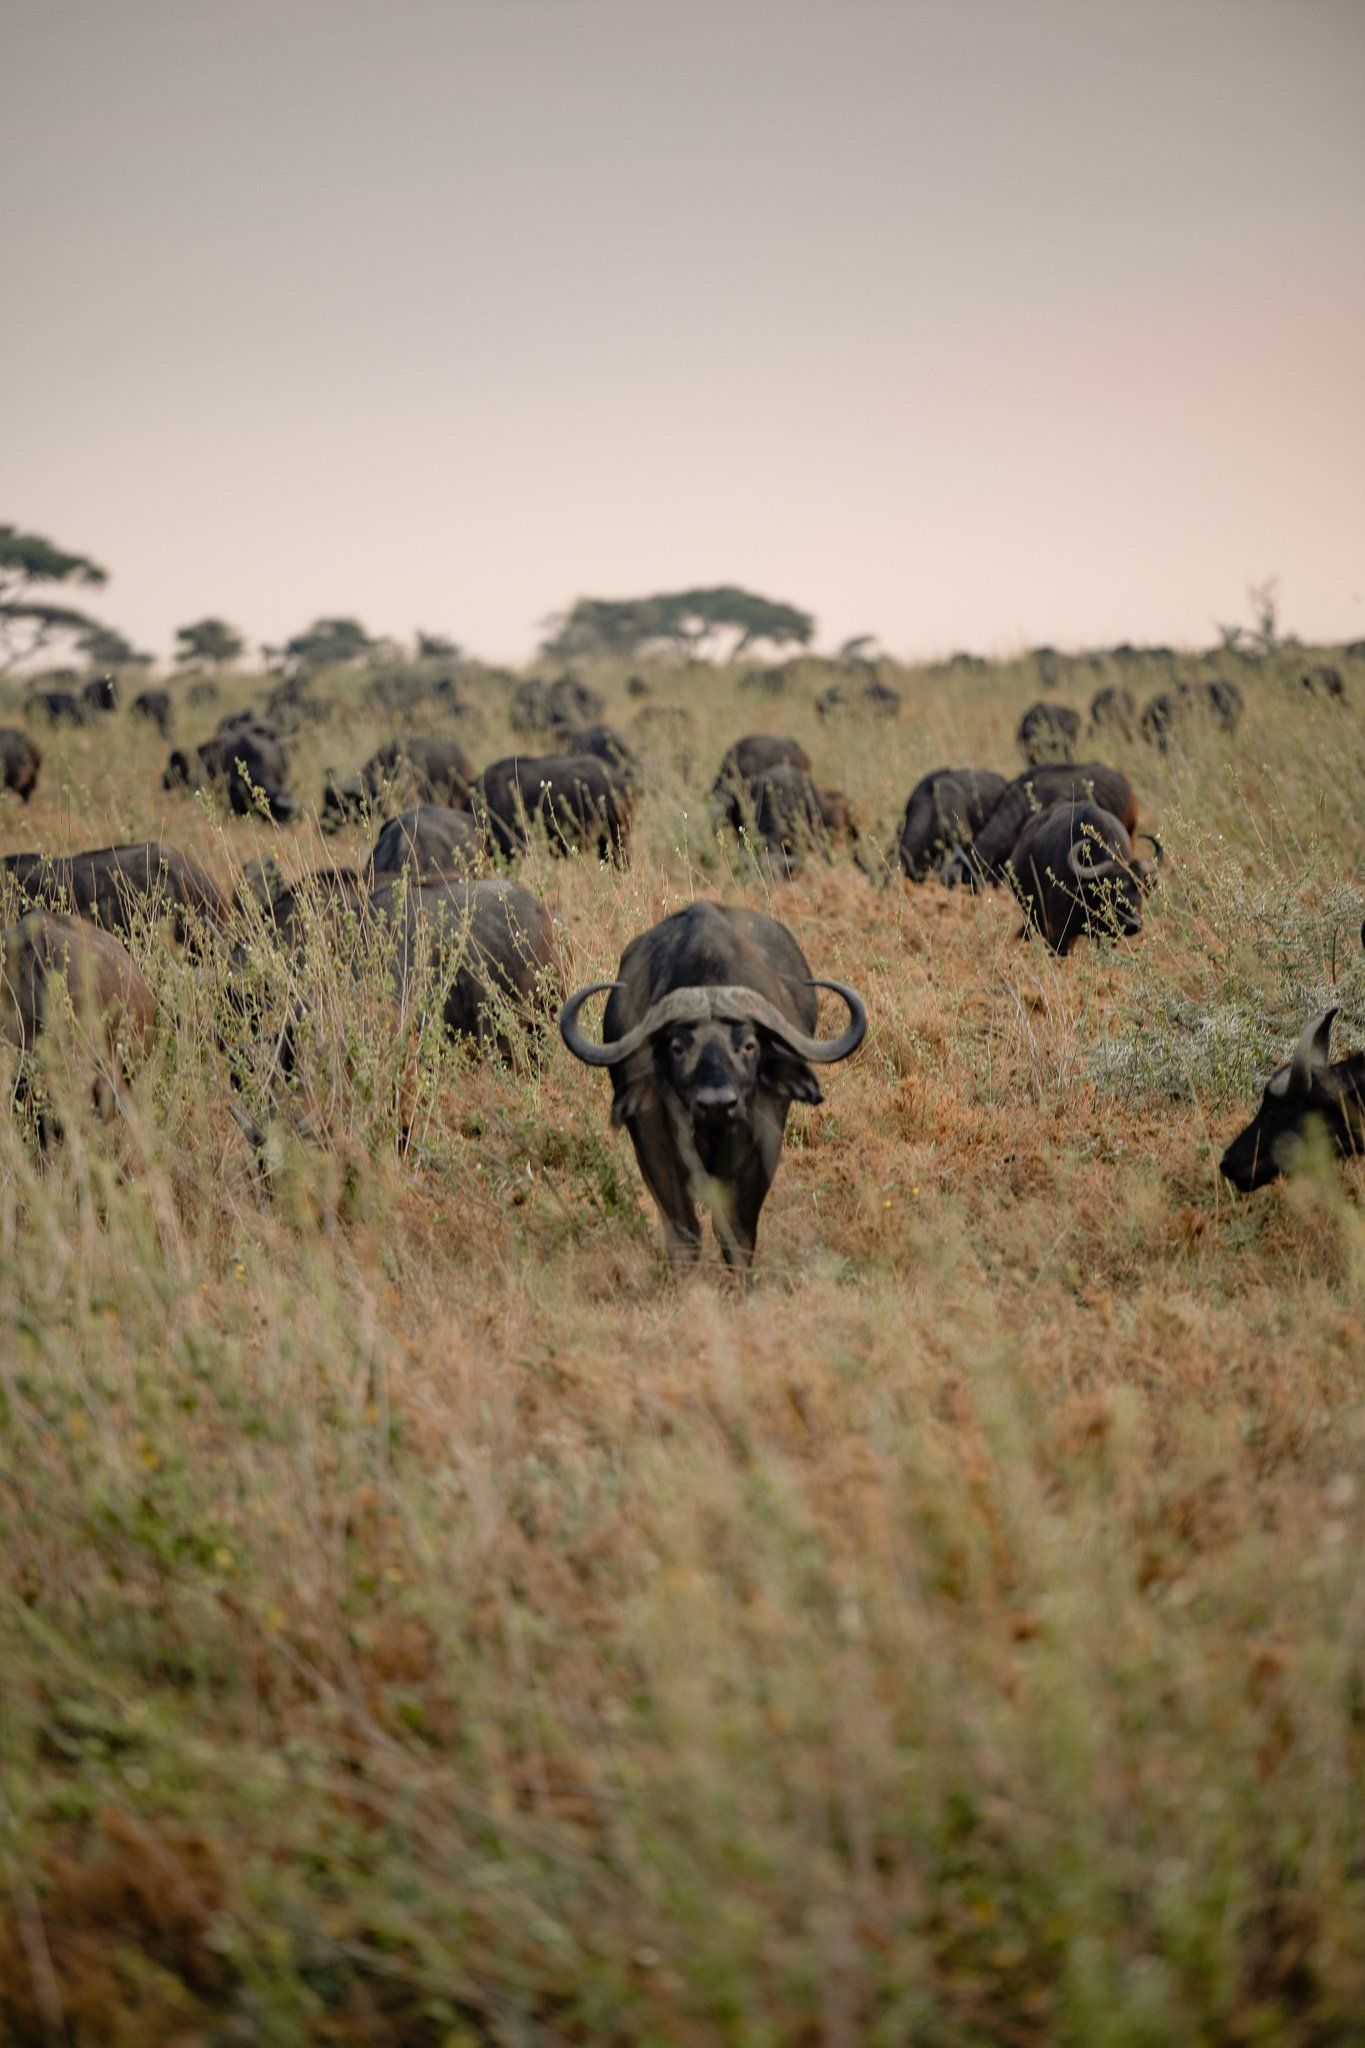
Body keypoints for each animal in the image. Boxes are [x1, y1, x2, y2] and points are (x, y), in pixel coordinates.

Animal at [559, 900, 866, 1270]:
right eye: (678, 1047)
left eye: (748, 1045)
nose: (716, 1103)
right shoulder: (652, 1135)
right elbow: (683, 1229)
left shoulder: (762, 1140)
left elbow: (737, 1230)